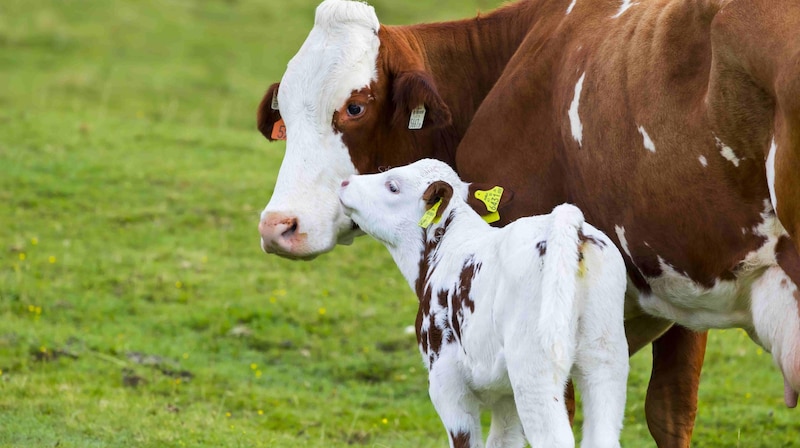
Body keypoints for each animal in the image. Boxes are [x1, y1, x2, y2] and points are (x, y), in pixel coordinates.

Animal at [338, 160, 632, 448]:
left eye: (393, 186)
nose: (345, 182)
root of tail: (571, 227)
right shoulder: (505, 397)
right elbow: (503, 441)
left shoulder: (446, 383)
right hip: (605, 355)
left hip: (533, 368)